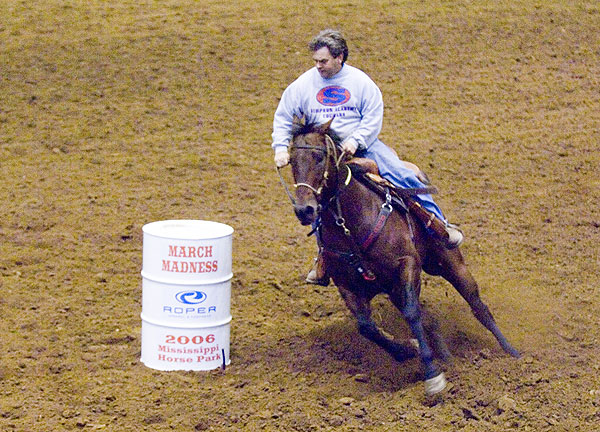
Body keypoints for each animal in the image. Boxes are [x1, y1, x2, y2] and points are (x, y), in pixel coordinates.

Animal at [282, 117, 520, 394]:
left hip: (449, 262)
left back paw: (511, 352)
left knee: (478, 306)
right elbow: (367, 327)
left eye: (319, 157)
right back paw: (446, 356)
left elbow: (412, 314)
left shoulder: (406, 265)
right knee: (429, 319)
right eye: (291, 161)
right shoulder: (347, 285)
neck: (350, 224)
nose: (304, 210)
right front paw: (407, 350)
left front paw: (432, 376)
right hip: (395, 287)